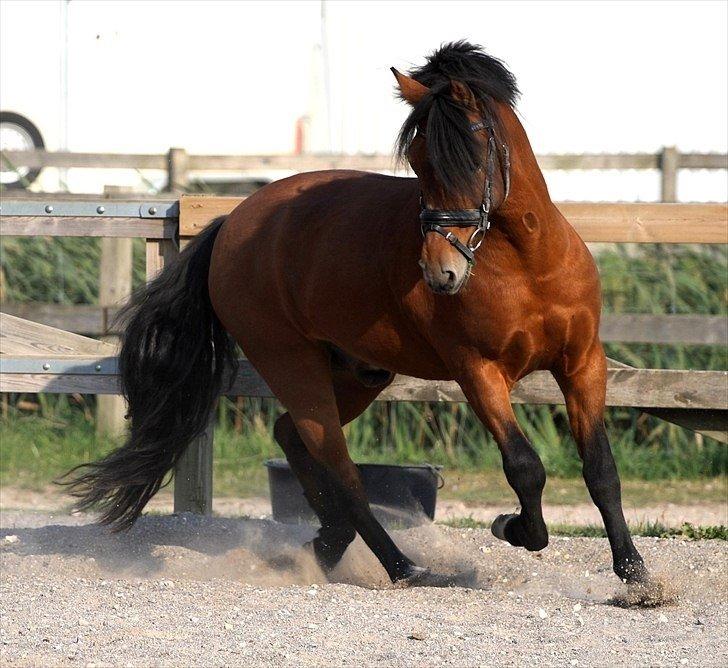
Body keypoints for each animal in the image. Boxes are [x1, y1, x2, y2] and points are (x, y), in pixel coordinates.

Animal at [67, 41, 648, 588]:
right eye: (419, 162)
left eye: (472, 156)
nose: (440, 273)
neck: (528, 264)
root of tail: (231, 224)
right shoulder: (479, 373)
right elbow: (524, 467)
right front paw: (513, 528)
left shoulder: (582, 364)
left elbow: (601, 469)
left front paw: (635, 575)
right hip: (293, 364)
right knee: (340, 468)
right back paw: (405, 568)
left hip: (358, 373)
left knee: (292, 436)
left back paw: (330, 541)